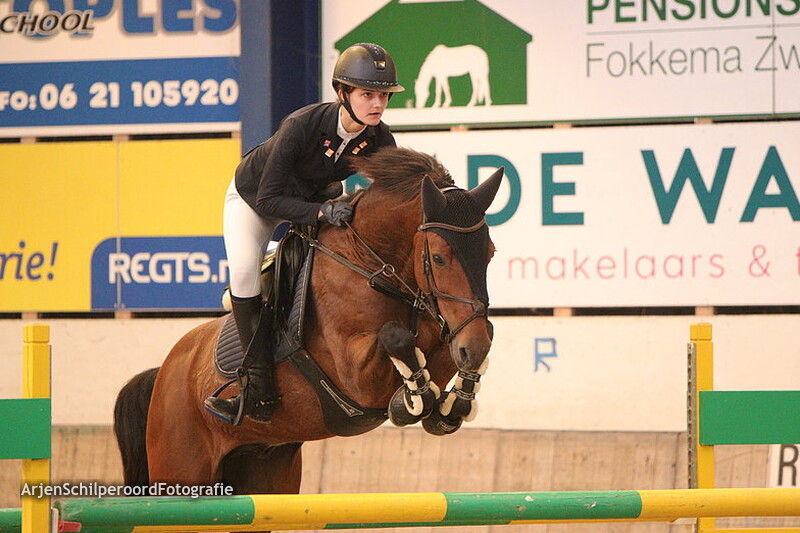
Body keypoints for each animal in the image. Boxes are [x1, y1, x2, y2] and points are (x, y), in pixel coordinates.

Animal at [113, 147, 503, 509]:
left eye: (490, 253)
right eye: (438, 258)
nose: (474, 347)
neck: (372, 265)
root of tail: (165, 372)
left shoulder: (447, 331)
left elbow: (454, 348)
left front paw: (453, 401)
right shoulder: (356, 378)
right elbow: (396, 336)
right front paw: (414, 399)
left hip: (265, 471)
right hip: (182, 469)